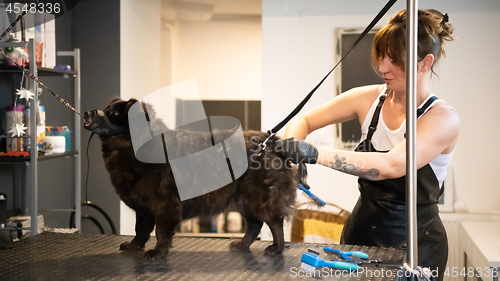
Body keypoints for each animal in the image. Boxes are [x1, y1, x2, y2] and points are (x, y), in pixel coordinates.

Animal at [84, 98, 302, 258]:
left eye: (114, 114)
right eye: (105, 109)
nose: (87, 112)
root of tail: (272, 142)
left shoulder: (165, 204)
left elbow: (161, 231)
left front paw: (158, 252)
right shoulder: (143, 207)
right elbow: (141, 229)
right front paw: (134, 245)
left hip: (257, 198)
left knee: (275, 223)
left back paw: (277, 248)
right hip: (242, 200)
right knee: (255, 224)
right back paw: (242, 244)